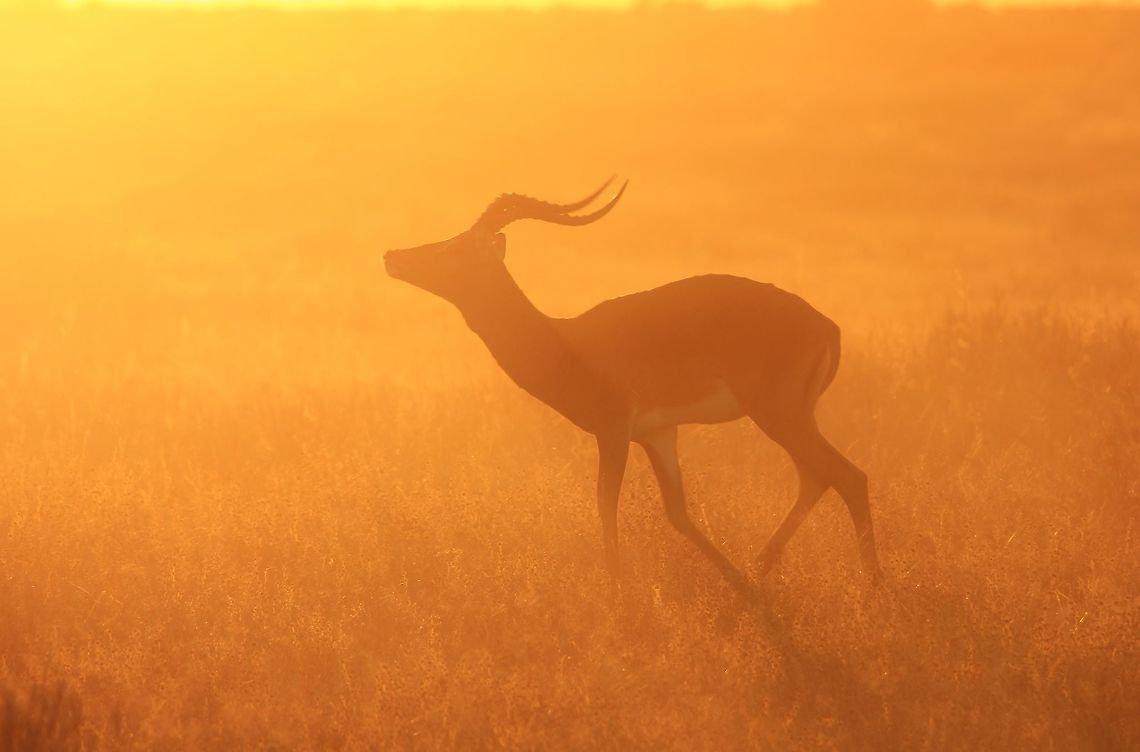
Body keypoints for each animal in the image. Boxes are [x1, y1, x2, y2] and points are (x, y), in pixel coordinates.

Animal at [384, 179, 883, 596]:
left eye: (456, 248)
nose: (392, 257)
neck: (565, 341)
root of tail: (825, 325)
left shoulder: (613, 430)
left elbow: (606, 505)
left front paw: (618, 594)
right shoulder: (657, 433)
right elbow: (677, 512)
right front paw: (734, 581)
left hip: (778, 414)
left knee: (848, 477)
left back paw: (875, 588)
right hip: (788, 417)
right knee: (816, 477)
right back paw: (759, 569)